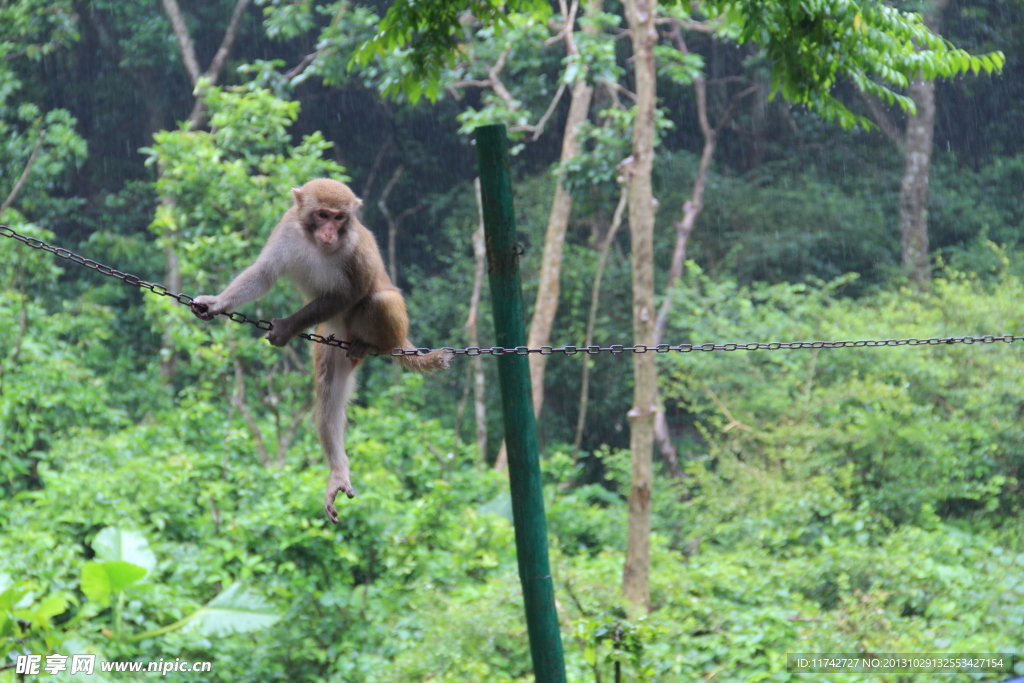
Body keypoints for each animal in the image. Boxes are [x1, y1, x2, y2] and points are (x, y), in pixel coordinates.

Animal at [189, 178, 452, 524]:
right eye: (323, 214)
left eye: (339, 218)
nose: (329, 232)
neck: (316, 243)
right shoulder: (287, 227)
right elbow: (263, 274)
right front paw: (218, 302)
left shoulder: (353, 247)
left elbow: (346, 294)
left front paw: (287, 327)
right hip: (329, 339)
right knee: (328, 390)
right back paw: (338, 470)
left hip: (387, 328)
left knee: (378, 299)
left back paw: (375, 345)